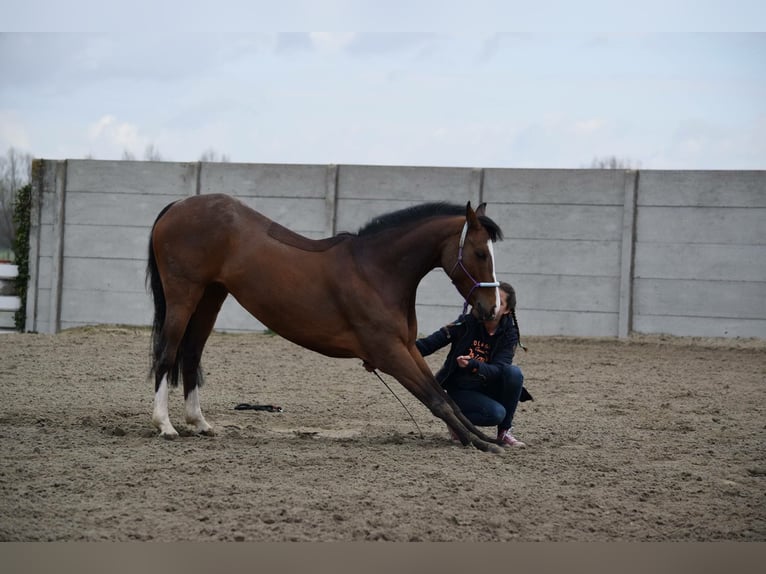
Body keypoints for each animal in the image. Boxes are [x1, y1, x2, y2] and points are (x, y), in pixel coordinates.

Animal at [146, 194, 506, 452]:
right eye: (479, 253)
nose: (492, 308)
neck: (375, 270)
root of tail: (178, 206)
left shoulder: (407, 347)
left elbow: (446, 397)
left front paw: (483, 437)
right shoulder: (389, 354)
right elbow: (436, 400)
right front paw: (482, 444)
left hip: (210, 297)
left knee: (190, 354)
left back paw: (199, 422)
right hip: (184, 296)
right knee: (167, 353)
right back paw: (165, 425)